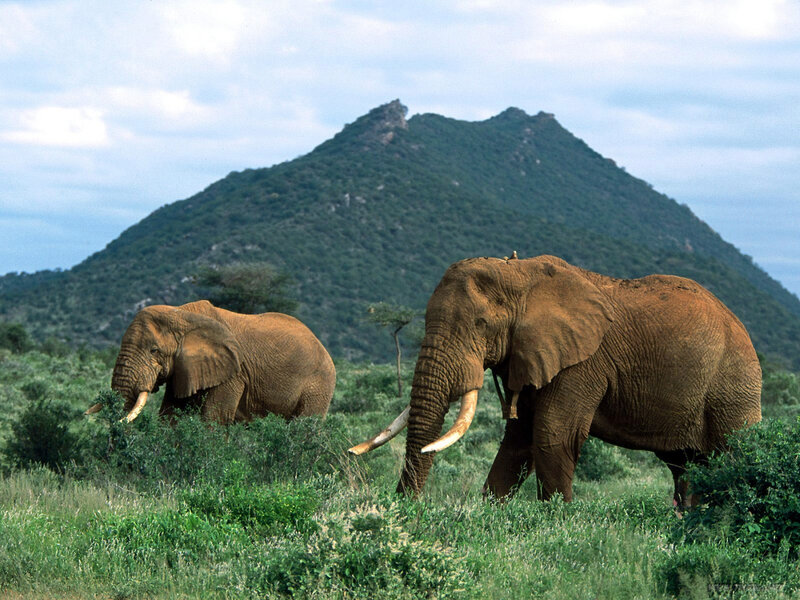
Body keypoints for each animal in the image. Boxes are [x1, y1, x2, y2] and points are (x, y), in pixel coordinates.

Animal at [86, 300, 336, 424]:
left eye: (154, 350)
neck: (181, 314)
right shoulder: (185, 368)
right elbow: (170, 415)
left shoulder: (233, 372)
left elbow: (214, 417)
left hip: (319, 384)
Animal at [351, 254, 762, 506]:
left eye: (481, 325)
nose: (404, 508)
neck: (521, 275)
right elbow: (518, 441)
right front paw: (490, 515)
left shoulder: (582, 361)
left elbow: (552, 435)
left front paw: (556, 522)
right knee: (687, 467)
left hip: (733, 386)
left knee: (733, 456)